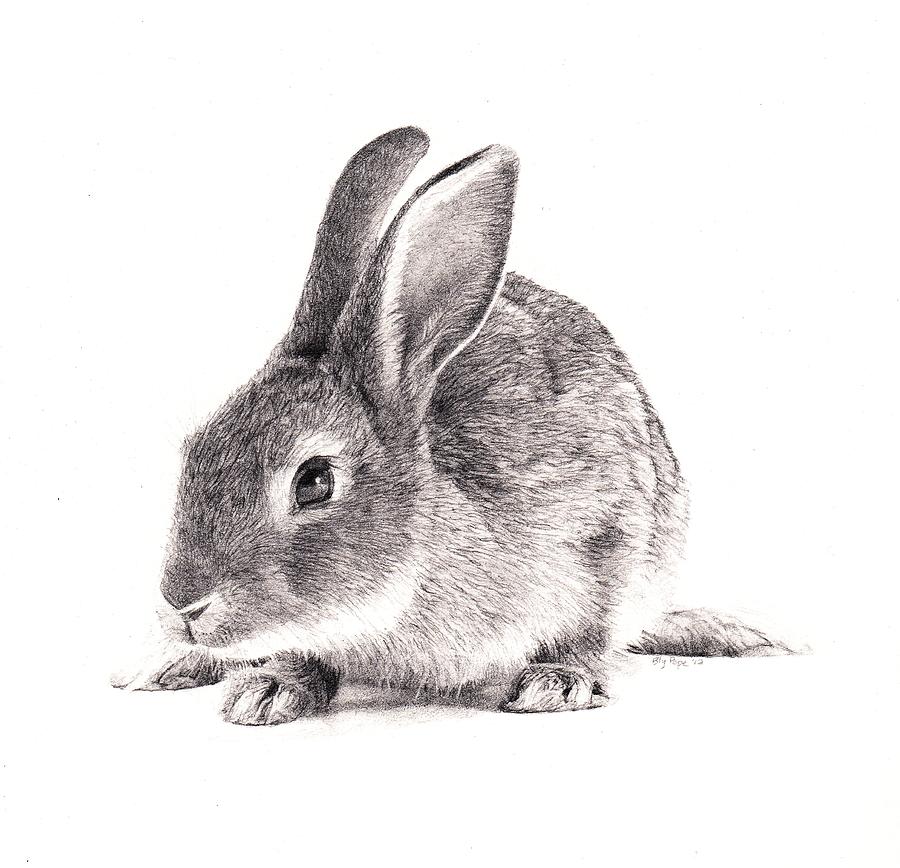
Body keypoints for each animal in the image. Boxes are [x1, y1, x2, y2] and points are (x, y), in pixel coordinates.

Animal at [113, 127, 789, 725]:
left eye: (314, 481)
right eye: (193, 449)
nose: (183, 605)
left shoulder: (608, 535)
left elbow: (587, 635)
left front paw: (556, 684)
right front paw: (269, 690)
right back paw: (166, 666)